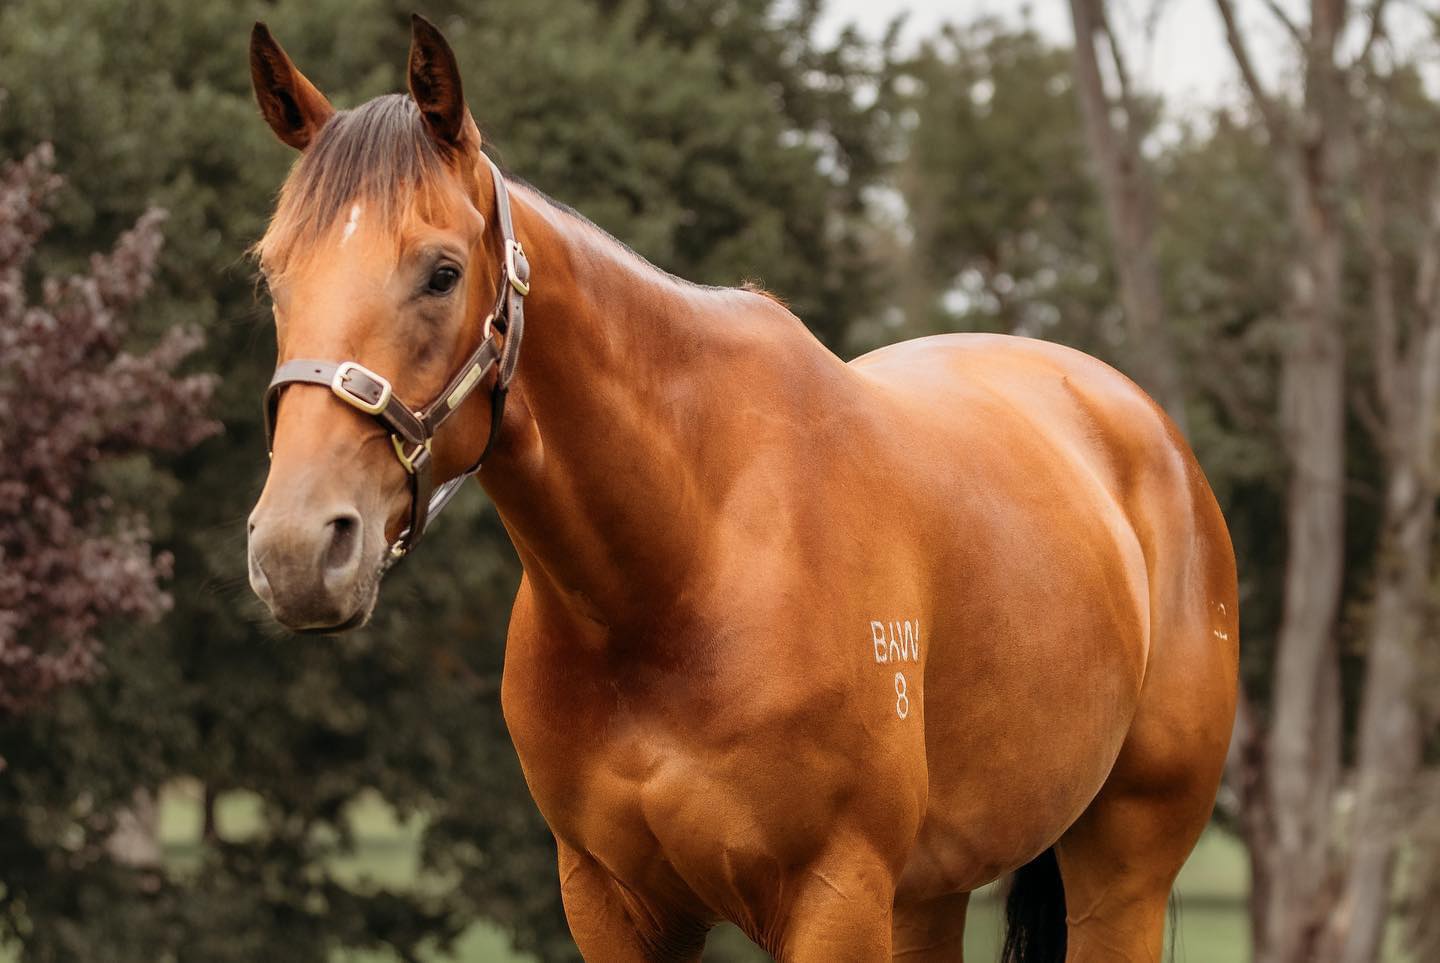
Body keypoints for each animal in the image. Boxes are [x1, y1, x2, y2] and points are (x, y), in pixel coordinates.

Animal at [244, 17, 1238, 962]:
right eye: (272, 274)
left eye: (442, 272)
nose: (296, 550)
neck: (688, 563)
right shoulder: (611, 904)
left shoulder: (835, 898)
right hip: (929, 892)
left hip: (1122, 872)